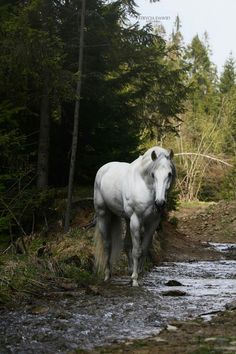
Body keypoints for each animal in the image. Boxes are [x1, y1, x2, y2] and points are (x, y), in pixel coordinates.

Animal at [93, 145, 175, 286]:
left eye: (169, 174)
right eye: (153, 174)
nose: (160, 203)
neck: (145, 186)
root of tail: (103, 169)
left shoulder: (153, 222)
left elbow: (144, 249)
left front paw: (139, 274)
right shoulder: (136, 220)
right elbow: (137, 250)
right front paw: (136, 280)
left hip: (127, 219)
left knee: (126, 244)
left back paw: (130, 271)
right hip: (103, 215)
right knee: (107, 244)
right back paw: (107, 276)